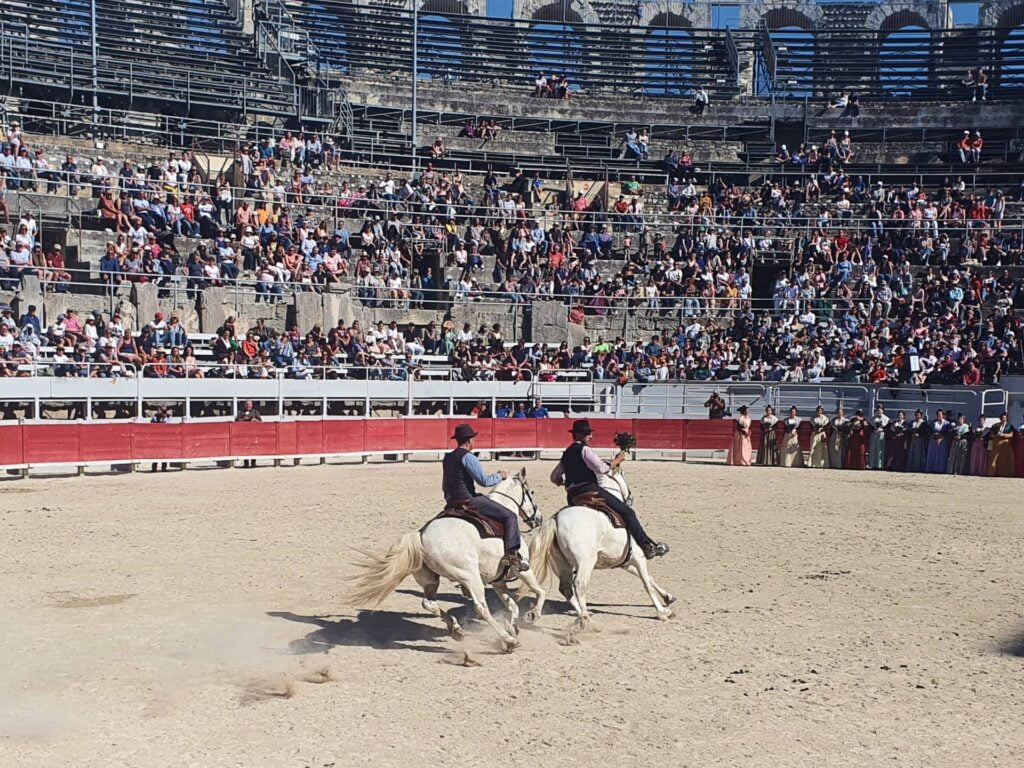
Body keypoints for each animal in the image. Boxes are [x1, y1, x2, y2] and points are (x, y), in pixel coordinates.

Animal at [344, 468, 548, 655]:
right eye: (531, 492)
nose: (538, 519)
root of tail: (420, 536)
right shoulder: (523, 570)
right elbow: (539, 591)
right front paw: (531, 616)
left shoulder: (497, 581)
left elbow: (512, 605)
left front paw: (514, 627)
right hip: (470, 577)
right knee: (480, 608)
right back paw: (508, 640)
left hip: (430, 580)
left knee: (428, 603)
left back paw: (456, 629)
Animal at [524, 468, 675, 630]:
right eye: (623, 475)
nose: (630, 497)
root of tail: (556, 519)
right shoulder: (638, 557)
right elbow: (647, 584)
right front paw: (662, 612)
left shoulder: (625, 562)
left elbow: (649, 579)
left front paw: (668, 597)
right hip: (585, 563)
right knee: (579, 585)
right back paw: (586, 618)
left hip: (563, 565)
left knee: (566, 589)